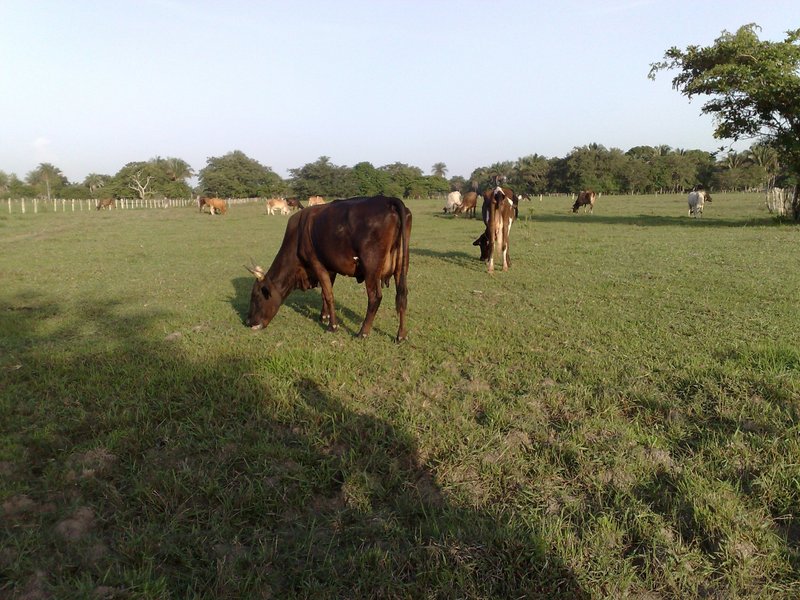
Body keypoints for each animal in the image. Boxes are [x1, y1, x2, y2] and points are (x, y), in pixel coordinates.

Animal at [247, 197, 412, 342]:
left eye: (256, 296)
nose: (248, 322)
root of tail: (388, 200)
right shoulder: (330, 267)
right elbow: (323, 293)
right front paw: (323, 316)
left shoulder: (317, 263)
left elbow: (328, 295)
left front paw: (332, 326)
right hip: (402, 265)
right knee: (402, 295)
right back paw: (401, 335)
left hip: (371, 268)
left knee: (375, 297)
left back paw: (363, 332)